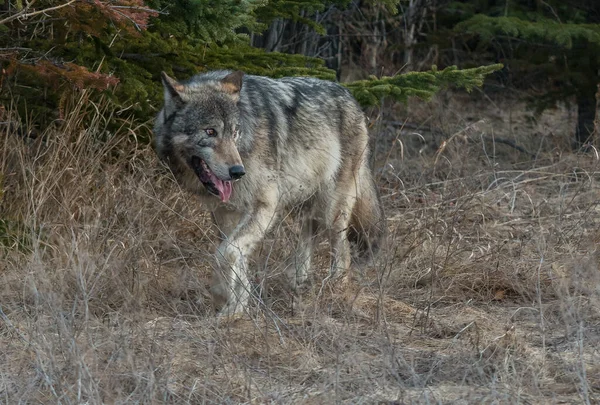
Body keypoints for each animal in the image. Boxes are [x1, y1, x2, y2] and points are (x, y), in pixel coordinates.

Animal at [152, 70, 382, 316]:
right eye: (210, 132)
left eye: (235, 133)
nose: (237, 171)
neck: (246, 143)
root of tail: (351, 96)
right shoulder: (225, 213)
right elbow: (236, 257)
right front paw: (236, 307)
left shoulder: (264, 205)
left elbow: (226, 253)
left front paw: (225, 300)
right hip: (306, 203)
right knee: (310, 231)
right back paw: (298, 279)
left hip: (332, 209)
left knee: (342, 248)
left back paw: (335, 286)